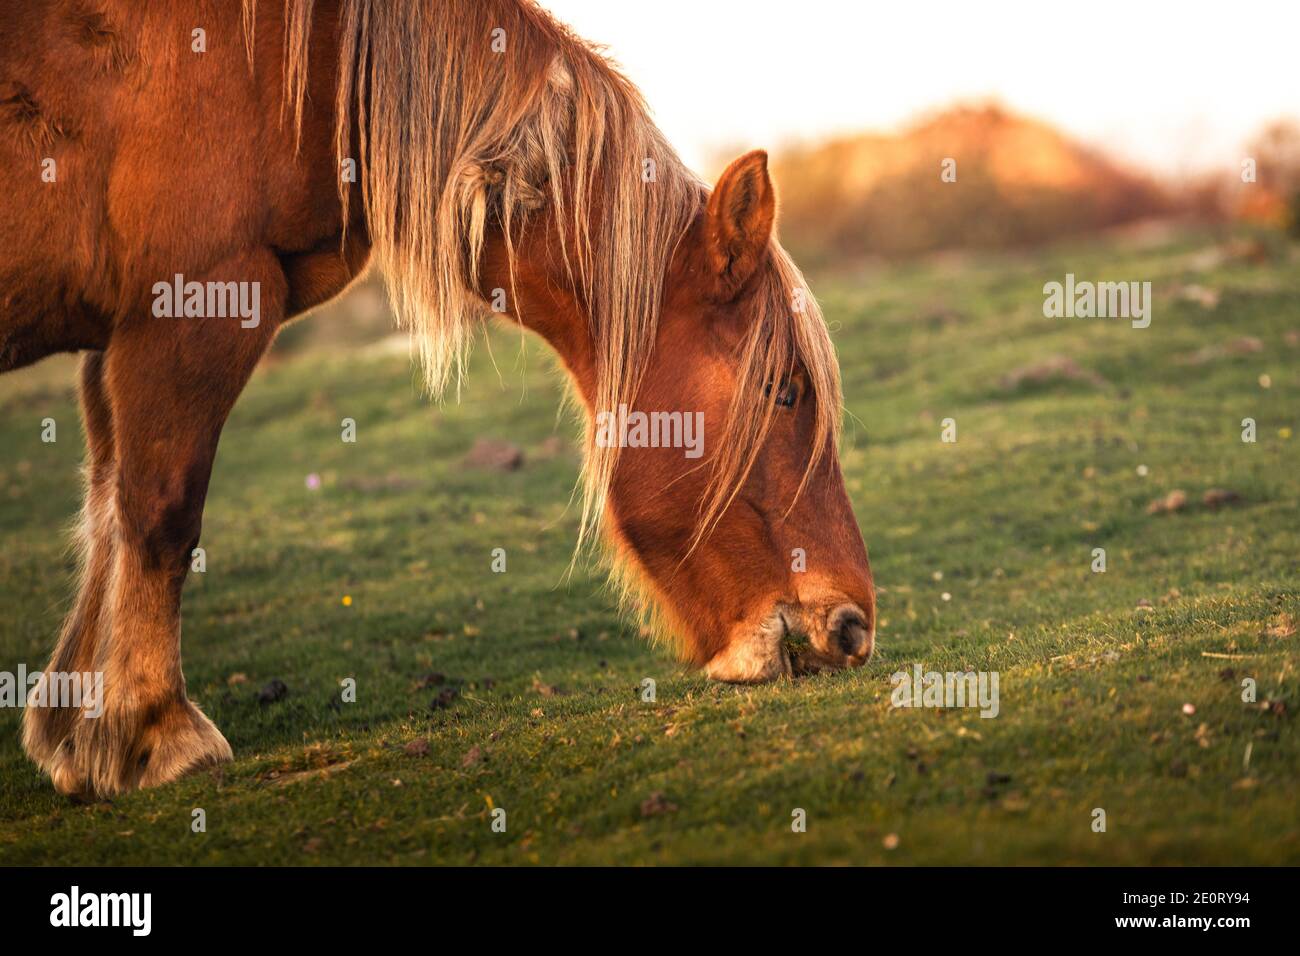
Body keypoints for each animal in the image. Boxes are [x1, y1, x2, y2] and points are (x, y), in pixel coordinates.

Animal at [0, 1, 878, 801]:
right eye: (784, 389)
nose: (853, 627)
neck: (302, 72)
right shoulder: (194, 305)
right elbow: (160, 515)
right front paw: (158, 729)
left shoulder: (116, 338)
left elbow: (105, 510)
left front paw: (77, 734)